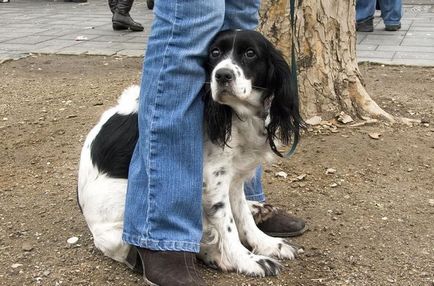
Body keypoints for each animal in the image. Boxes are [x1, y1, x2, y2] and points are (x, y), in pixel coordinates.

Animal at [77, 29, 302, 278]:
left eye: (250, 53)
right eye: (215, 52)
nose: (222, 75)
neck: (235, 115)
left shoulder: (233, 176)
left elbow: (242, 215)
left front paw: (267, 243)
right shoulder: (214, 178)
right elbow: (227, 224)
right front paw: (248, 260)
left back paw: (257, 210)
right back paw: (216, 255)